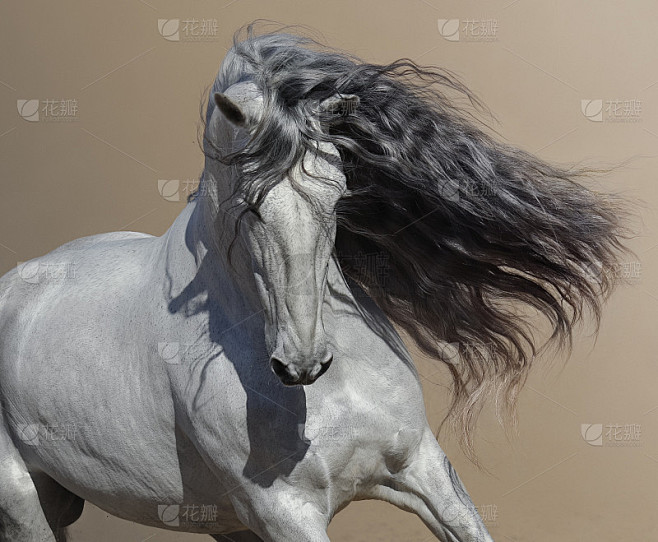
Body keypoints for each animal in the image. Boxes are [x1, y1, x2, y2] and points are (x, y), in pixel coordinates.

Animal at [0, 25, 630, 542]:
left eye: (338, 193)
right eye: (249, 207)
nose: (302, 363)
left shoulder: (421, 468)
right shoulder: (286, 514)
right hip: (27, 501)